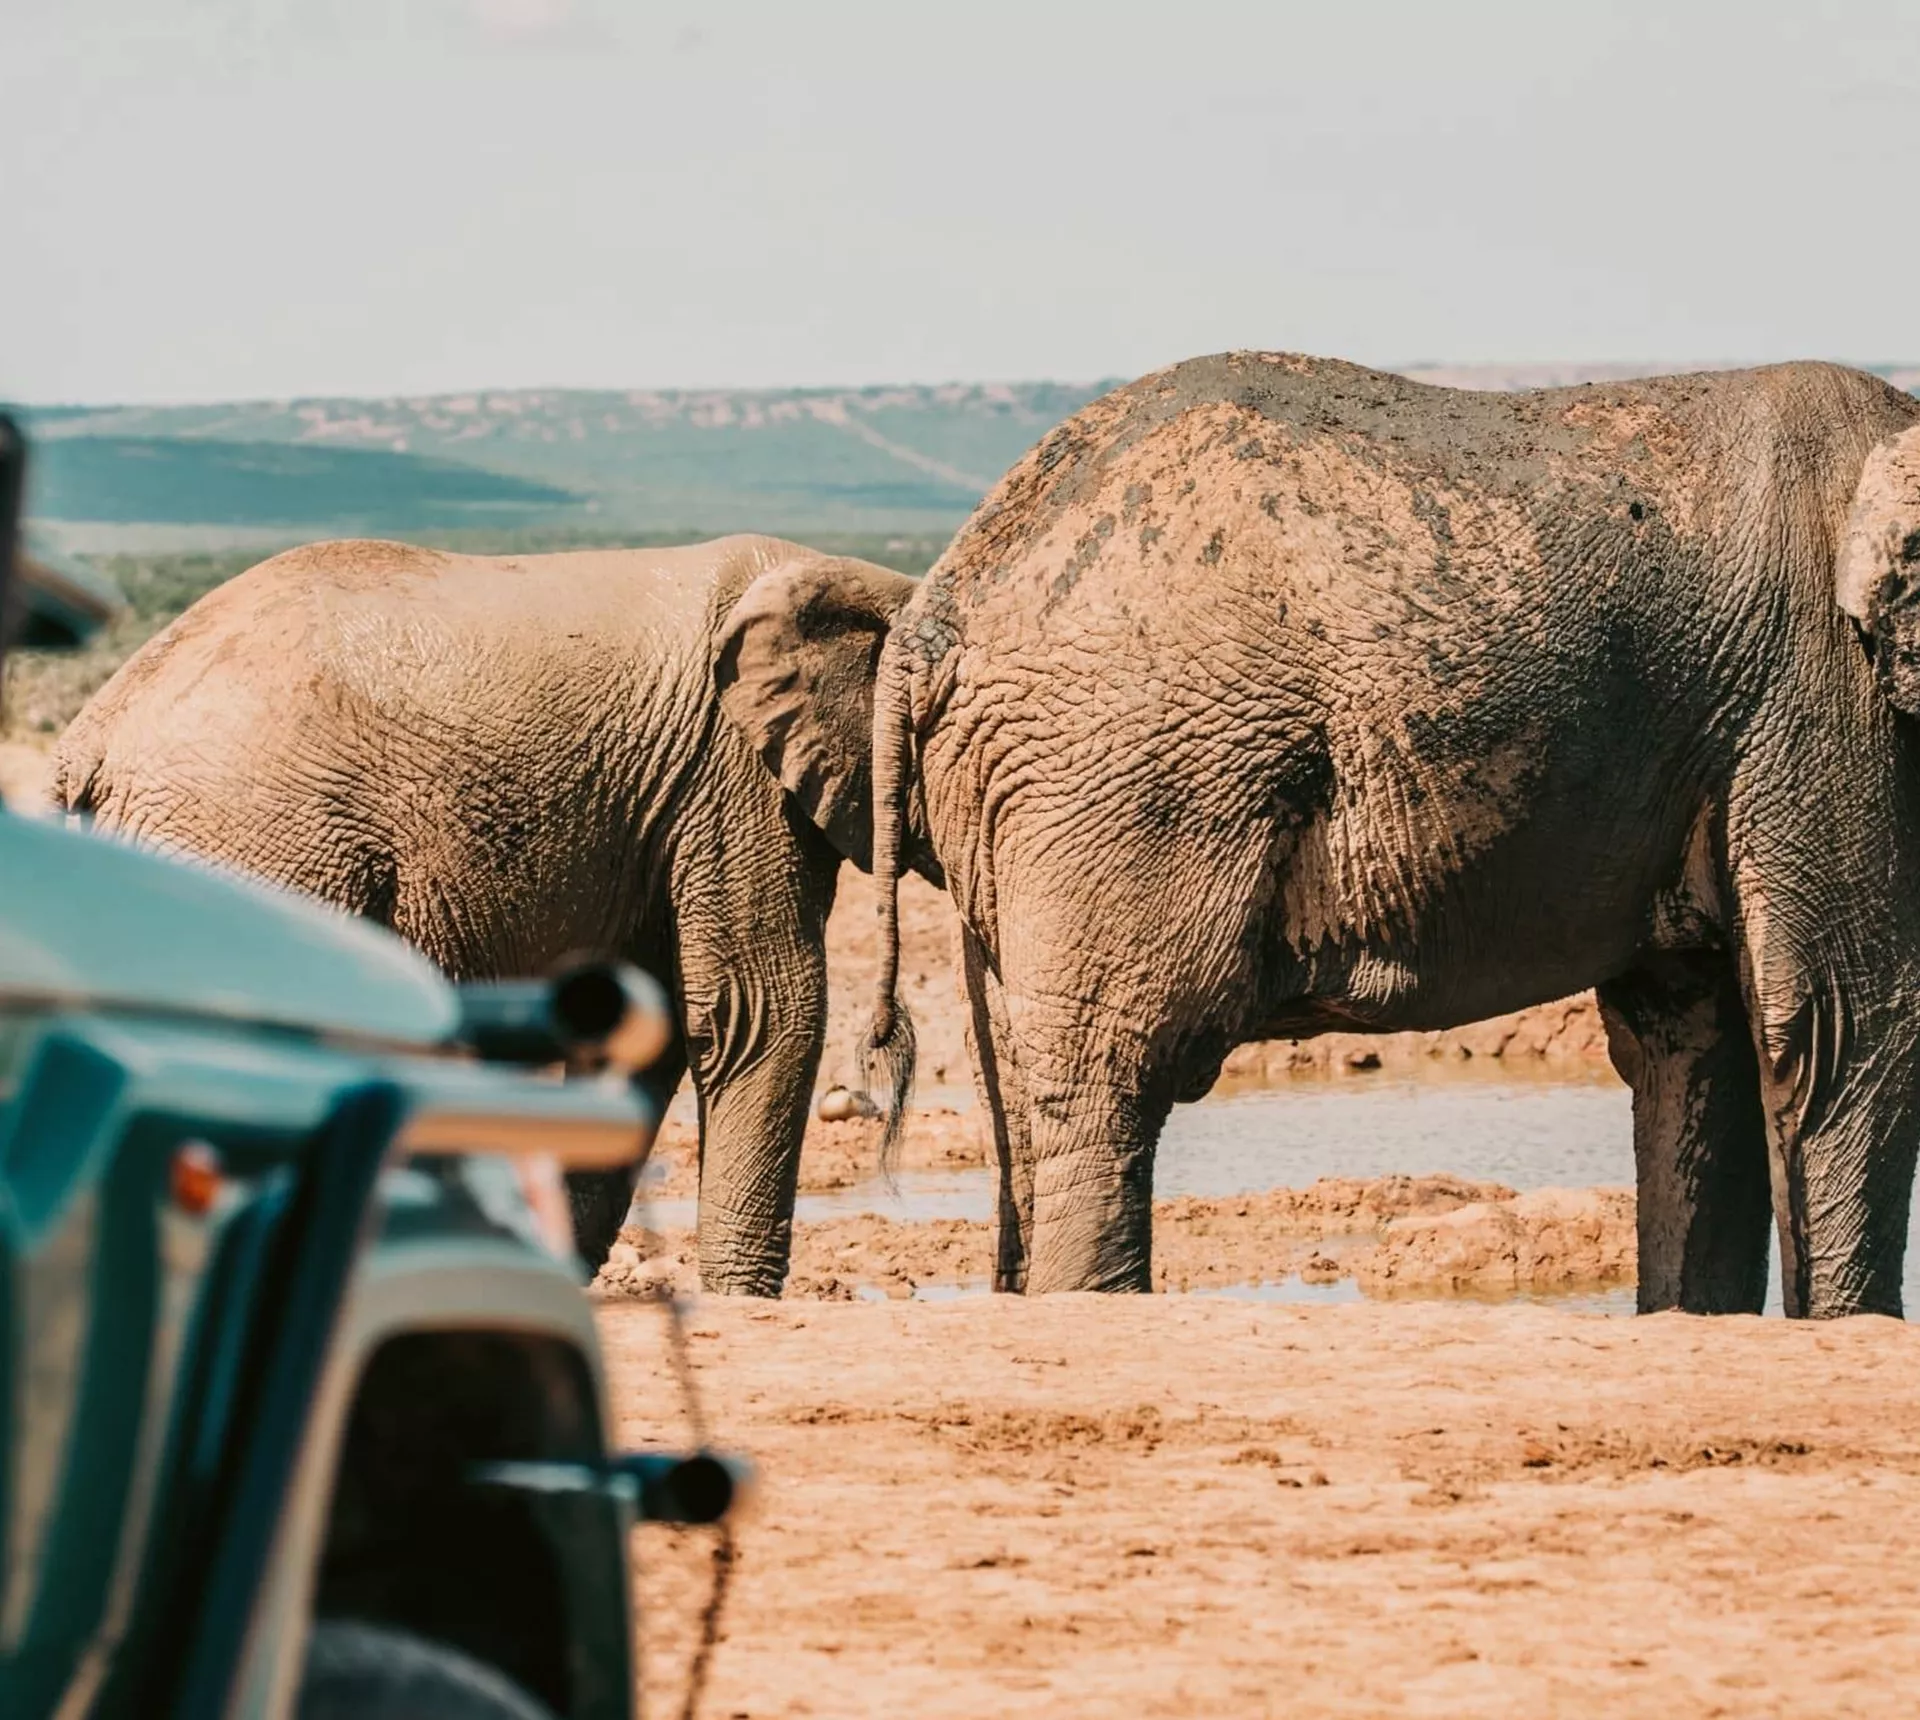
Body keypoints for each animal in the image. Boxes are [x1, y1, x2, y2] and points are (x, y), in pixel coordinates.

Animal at [51, 535, 917, 1293]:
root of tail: (90, 736)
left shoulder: (656, 814)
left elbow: (643, 1024)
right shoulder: (732, 784)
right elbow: (759, 1013)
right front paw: (745, 1296)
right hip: (255, 842)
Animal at [820, 352, 1920, 1315]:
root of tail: (936, 608)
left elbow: (1697, 1037)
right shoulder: (1826, 694)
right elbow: (1839, 1027)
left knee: (1020, 1085)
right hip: (1123, 774)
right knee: (1113, 1071)